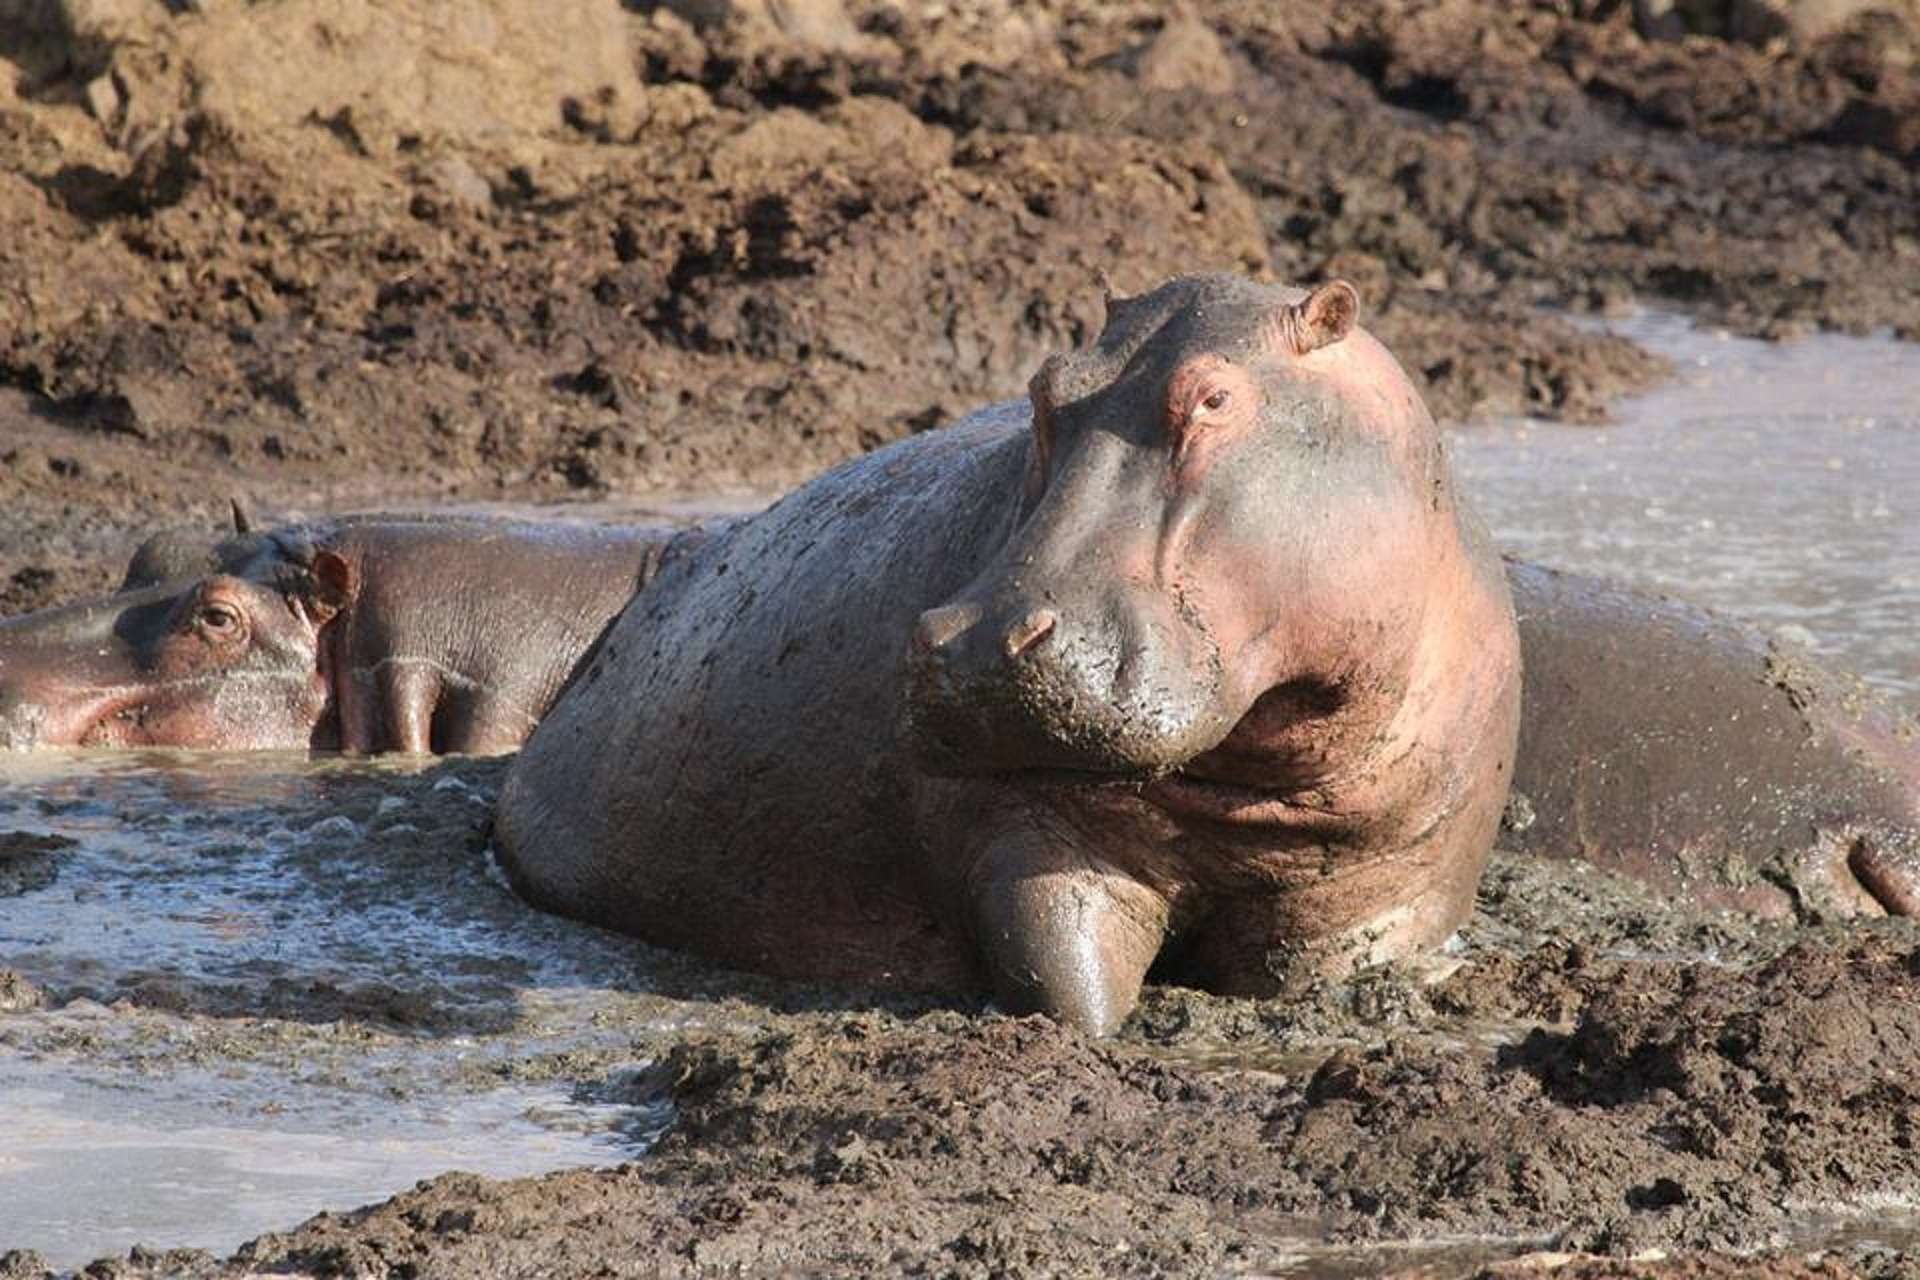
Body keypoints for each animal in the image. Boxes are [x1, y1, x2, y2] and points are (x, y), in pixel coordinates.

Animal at [495, 276, 1528, 1036]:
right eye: (1043, 389)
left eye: (1214, 396)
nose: (982, 640)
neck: (1257, 772)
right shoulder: (1024, 838)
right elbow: (1069, 989)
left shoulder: (1385, 892)